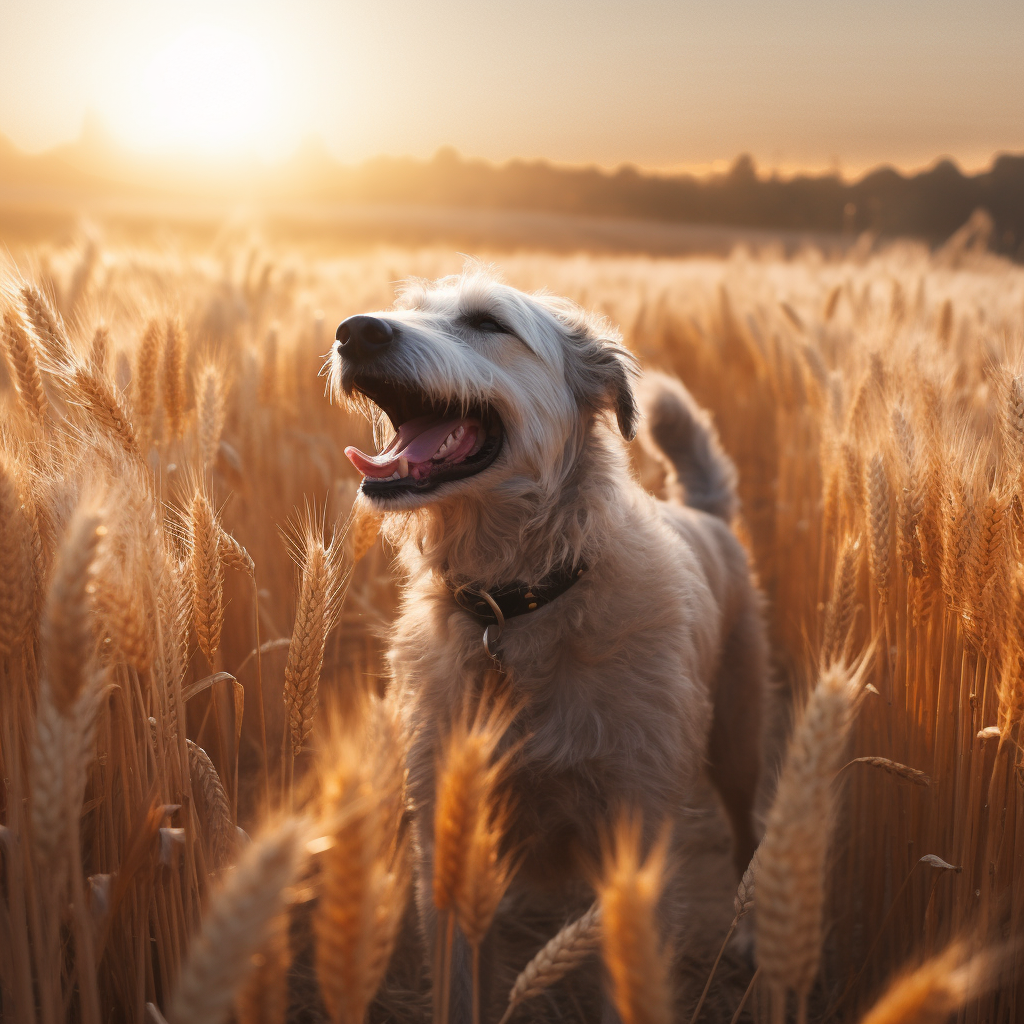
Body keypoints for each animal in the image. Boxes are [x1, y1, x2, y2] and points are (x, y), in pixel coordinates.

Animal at [329, 268, 770, 1019]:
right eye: (403, 310)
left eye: (487, 322)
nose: (356, 331)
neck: (513, 603)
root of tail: (704, 515)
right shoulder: (447, 825)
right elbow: (459, 978)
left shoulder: (634, 826)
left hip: (739, 735)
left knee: (747, 828)